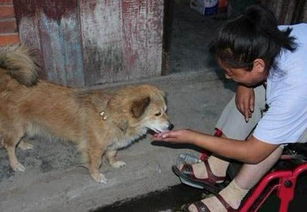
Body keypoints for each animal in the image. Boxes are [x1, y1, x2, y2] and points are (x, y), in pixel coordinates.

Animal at [0, 44, 173, 182]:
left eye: (165, 111)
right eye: (157, 114)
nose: (171, 126)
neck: (112, 115)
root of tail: (9, 81)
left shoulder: (112, 144)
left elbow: (112, 154)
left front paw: (114, 163)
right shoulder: (94, 149)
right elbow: (96, 163)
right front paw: (96, 176)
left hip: (21, 126)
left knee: (14, 140)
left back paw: (23, 144)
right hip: (17, 127)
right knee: (8, 145)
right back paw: (15, 164)